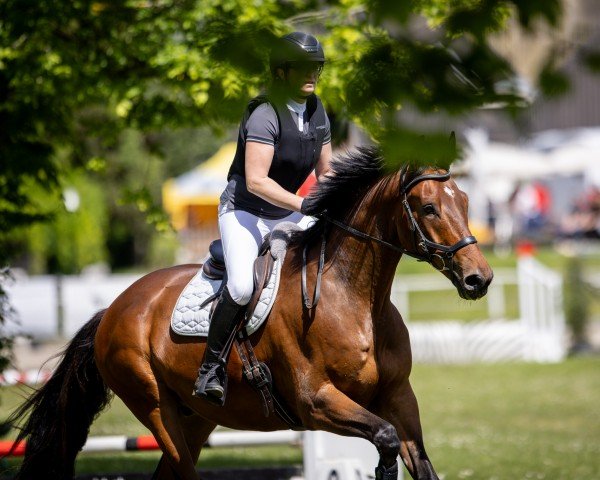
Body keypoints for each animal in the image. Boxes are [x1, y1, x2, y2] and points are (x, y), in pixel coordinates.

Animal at [5, 146, 492, 480]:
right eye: (428, 207)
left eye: (466, 202)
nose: (479, 279)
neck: (356, 299)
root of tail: (115, 307)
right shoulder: (317, 402)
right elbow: (385, 439)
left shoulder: (398, 398)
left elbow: (417, 460)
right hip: (154, 406)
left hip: (197, 416)